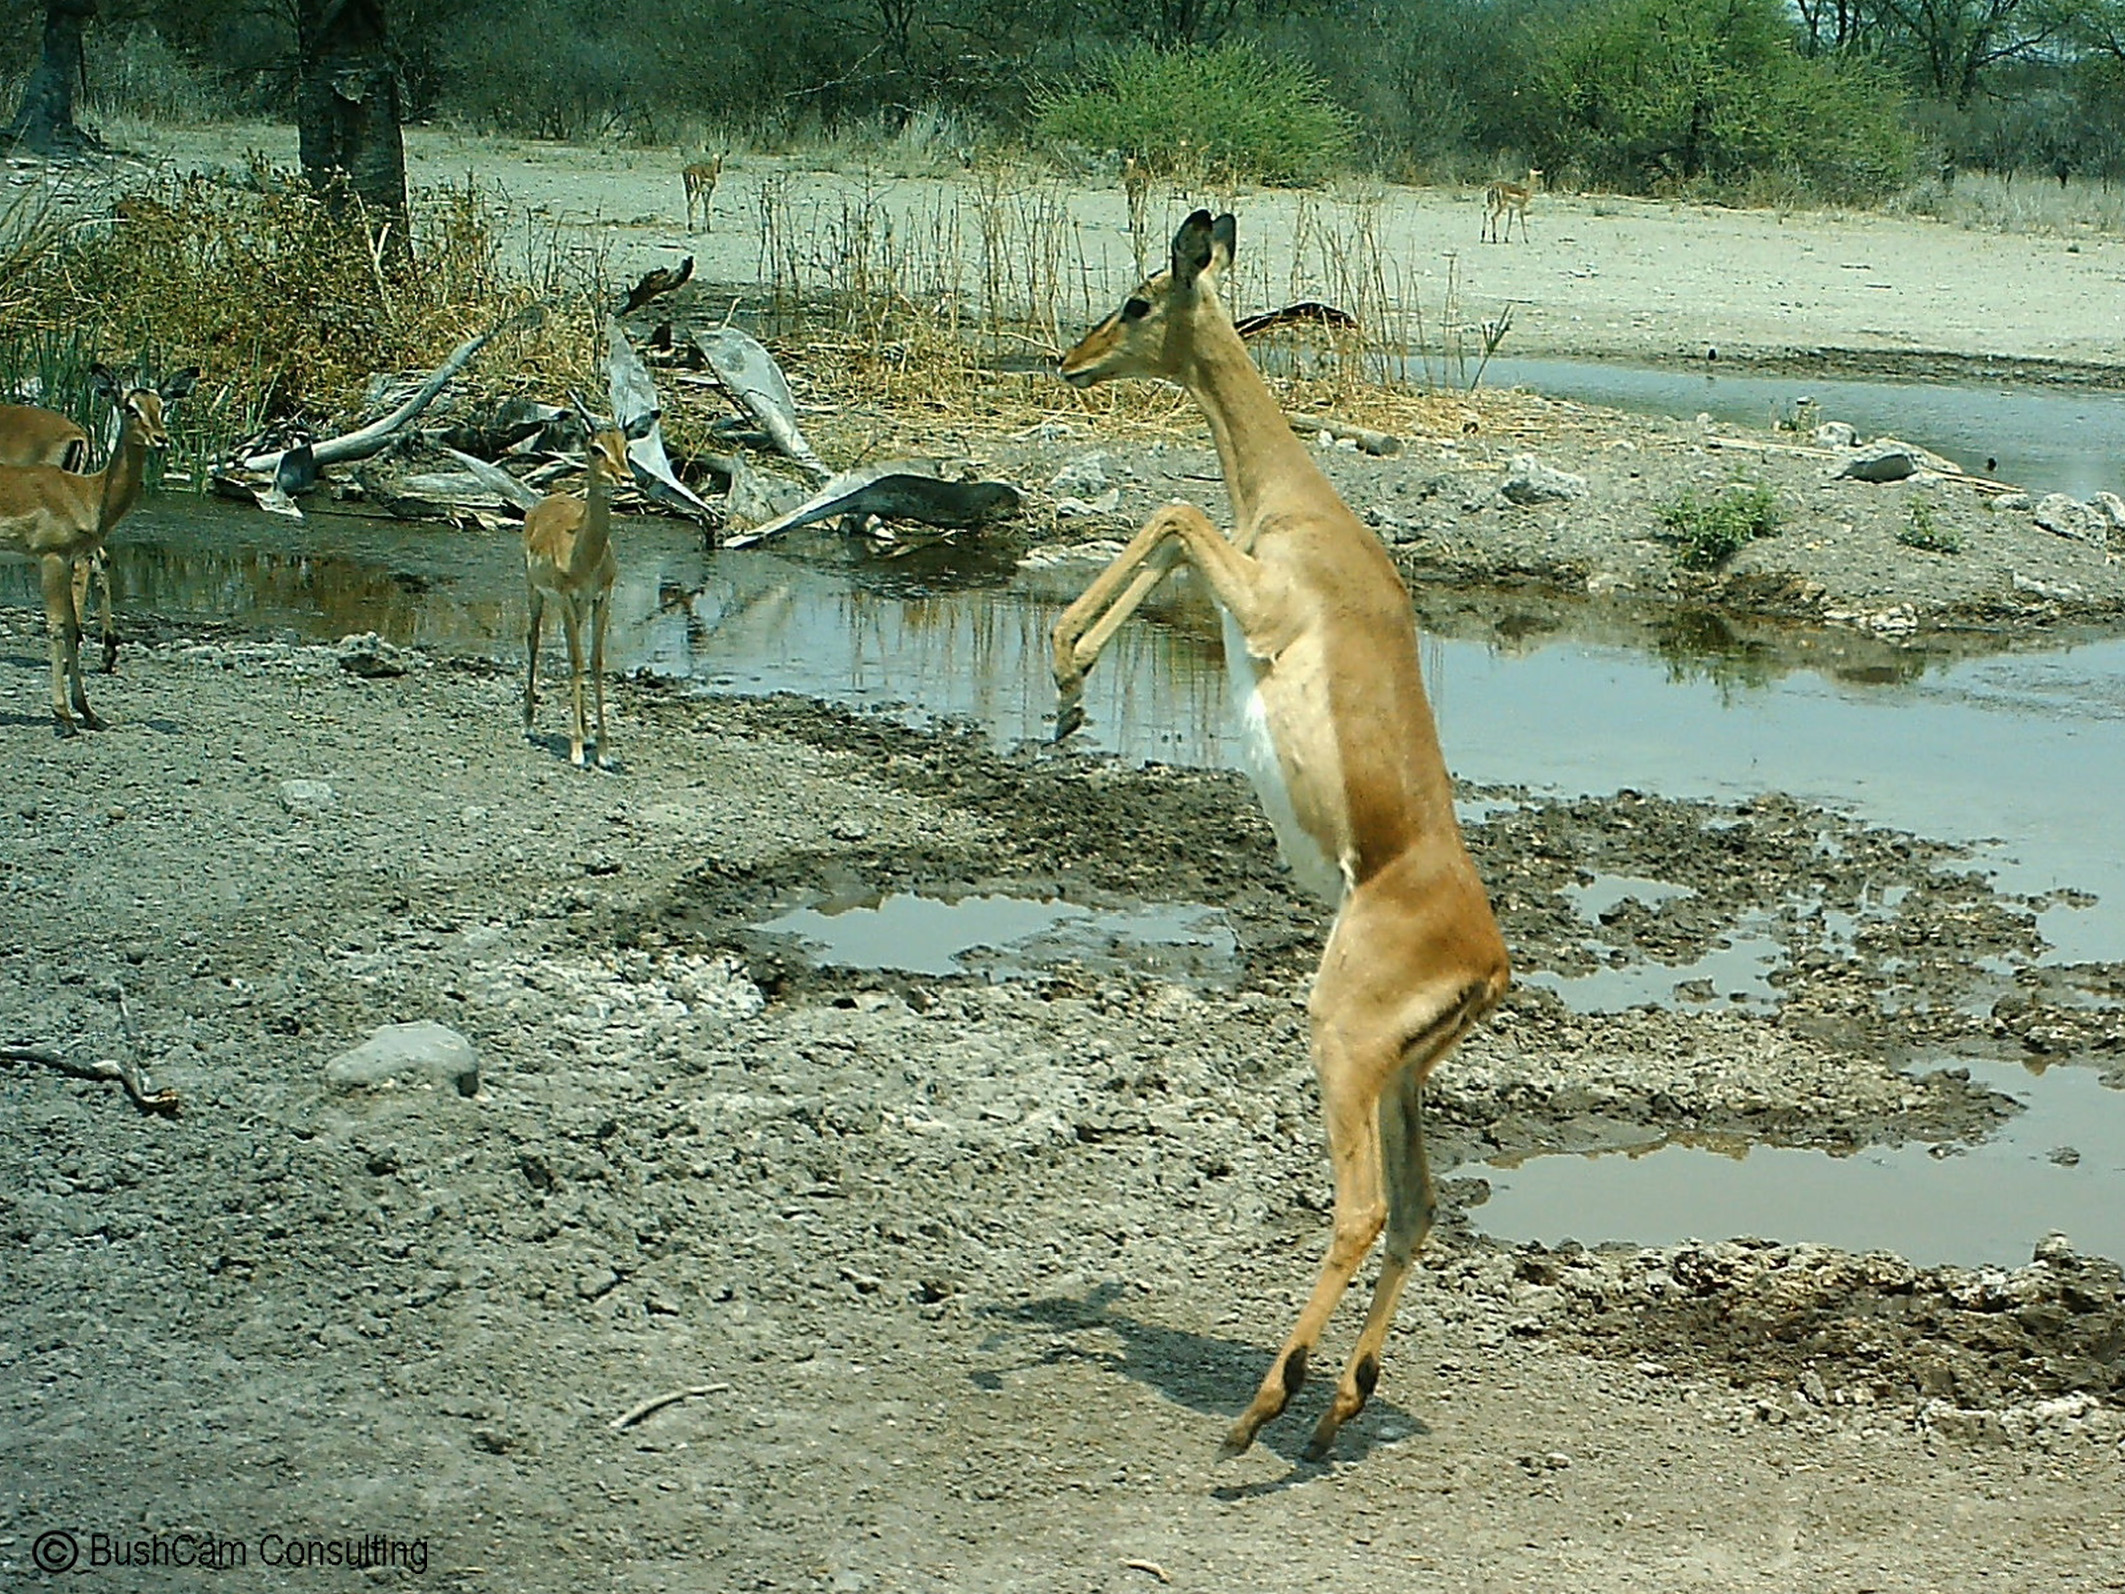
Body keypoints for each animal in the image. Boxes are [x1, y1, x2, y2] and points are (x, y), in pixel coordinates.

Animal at [0, 364, 196, 734]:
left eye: (162, 405)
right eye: (130, 407)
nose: (161, 439)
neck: (86, 493)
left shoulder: (67, 560)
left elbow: (73, 628)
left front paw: (89, 713)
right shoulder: (51, 559)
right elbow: (58, 628)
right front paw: (64, 716)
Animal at [522, 398, 656, 768]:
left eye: (627, 447)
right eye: (596, 448)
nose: (626, 477)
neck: (583, 553)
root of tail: (543, 502)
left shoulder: (601, 597)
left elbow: (594, 662)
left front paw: (605, 750)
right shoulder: (567, 597)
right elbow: (576, 661)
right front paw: (578, 748)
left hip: (579, 608)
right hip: (536, 594)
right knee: (533, 640)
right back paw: (528, 723)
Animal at [1052, 212, 1509, 1461]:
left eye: (1139, 294)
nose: (1071, 360)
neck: (1303, 512)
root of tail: (1491, 960)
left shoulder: (1253, 597)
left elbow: (1170, 514)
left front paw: (1063, 670)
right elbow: (1169, 529)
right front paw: (1066, 692)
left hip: (1341, 1048)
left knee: (1361, 1208)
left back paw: (1262, 1408)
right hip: (1399, 1079)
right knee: (1417, 1210)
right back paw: (1331, 1412)